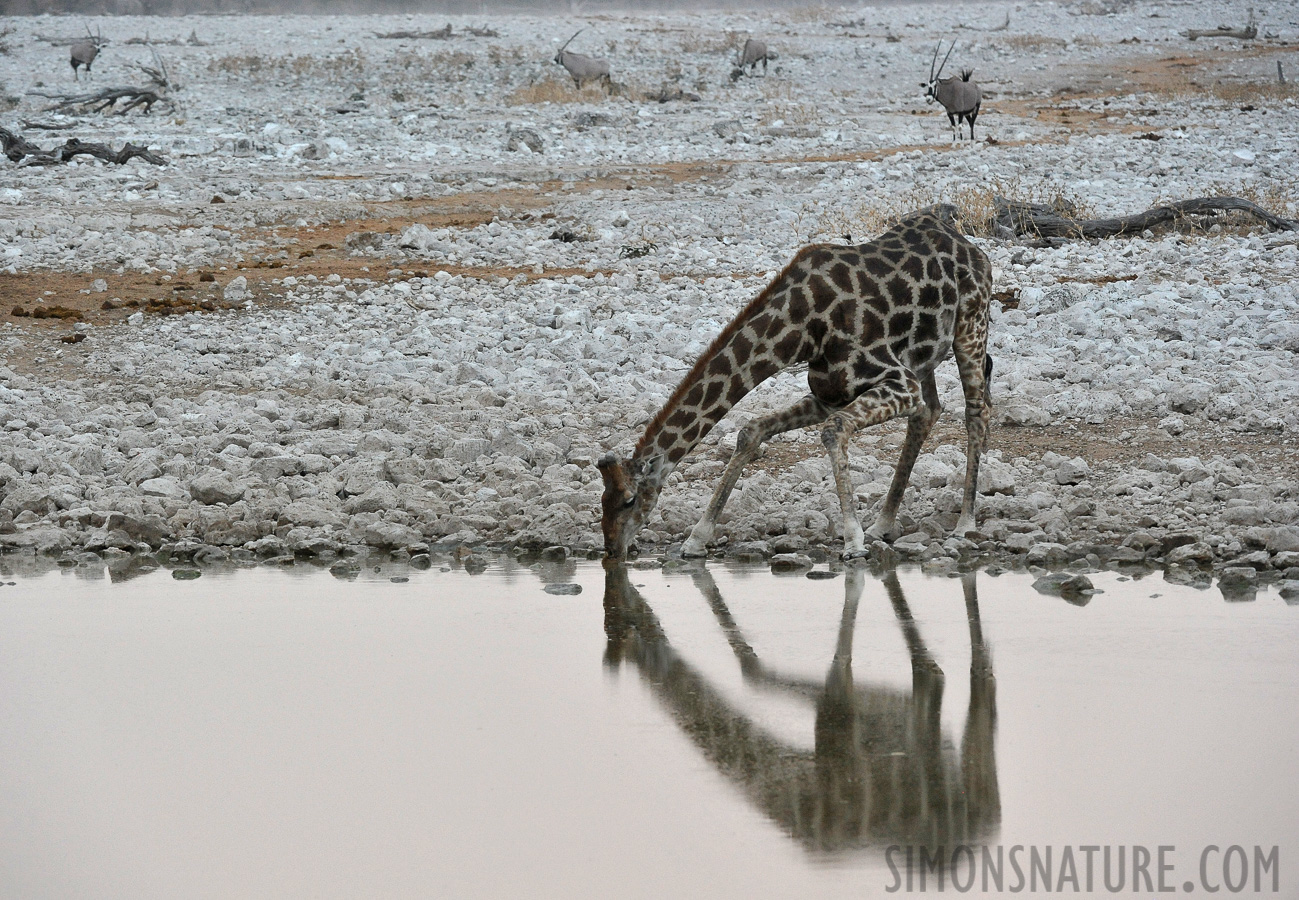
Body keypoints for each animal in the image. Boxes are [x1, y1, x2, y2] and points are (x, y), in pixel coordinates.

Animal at [597, 203, 992, 558]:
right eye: (602, 500)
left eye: (629, 500)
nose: (612, 549)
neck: (803, 330)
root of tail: (968, 244)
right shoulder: (829, 395)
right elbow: (750, 430)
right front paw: (696, 538)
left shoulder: (899, 382)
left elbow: (833, 431)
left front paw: (853, 541)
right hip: (926, 353)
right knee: (928, 412)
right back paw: (883, 524)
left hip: (970, 325)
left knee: (976, 412)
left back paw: (964, 524)